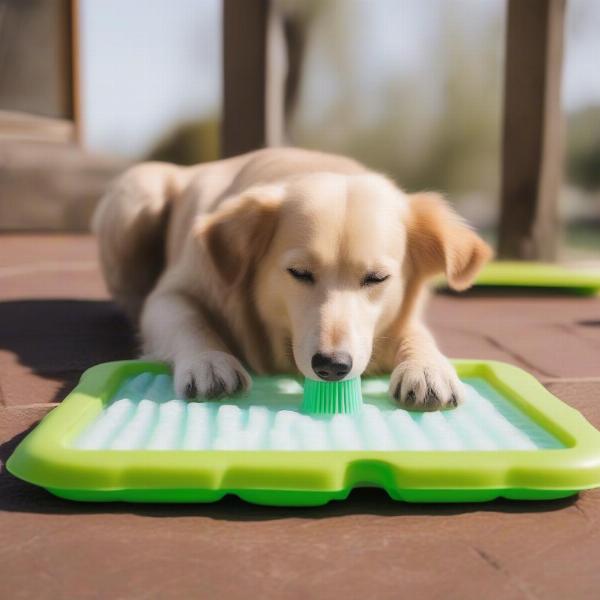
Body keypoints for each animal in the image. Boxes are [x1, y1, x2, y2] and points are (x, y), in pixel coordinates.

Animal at [92, 149, 488, 412]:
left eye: (377, 278)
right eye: (299, 273)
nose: (332, 366)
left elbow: (415, 332)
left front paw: (427, 367)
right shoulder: (172, 293)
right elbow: (187, 318)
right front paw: (208, 361)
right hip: (138, 193)